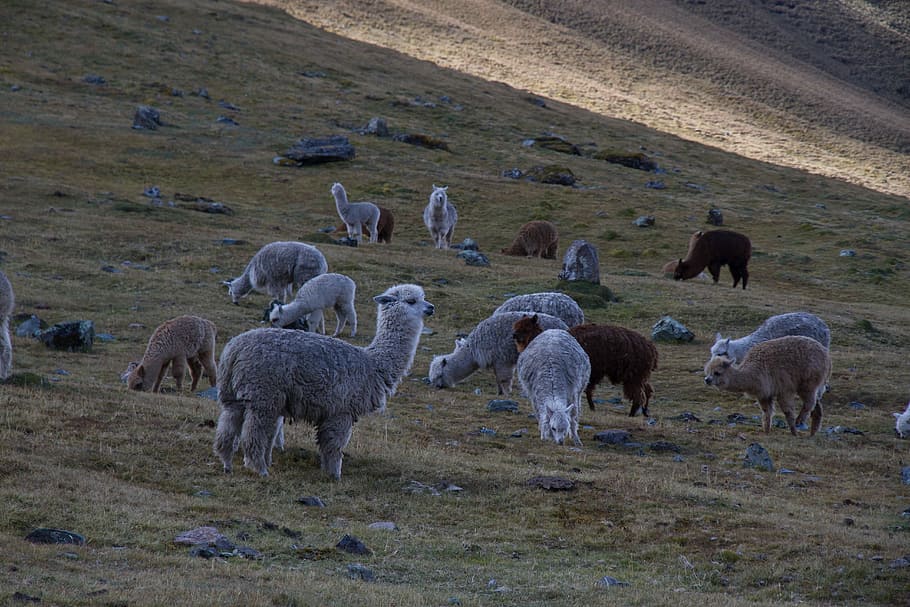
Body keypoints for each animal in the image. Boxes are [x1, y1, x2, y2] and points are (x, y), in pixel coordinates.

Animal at [213, 283, 435, 479]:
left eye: (423, 297)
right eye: (412, 300)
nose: (431, 307)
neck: (374, 364)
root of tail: (234, 350)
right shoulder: (341, 410)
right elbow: (334, 446)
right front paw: (334, 475)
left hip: (234, 394)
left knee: (226, 428)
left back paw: (227, 464)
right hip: (263, 394)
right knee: (253, 434)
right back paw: (259, 469)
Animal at [428, 311, 568, 395]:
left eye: (439, 375)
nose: (438, 387)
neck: (473, 350)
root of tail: (565, 326)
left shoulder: (502, 359)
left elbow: (504, 379)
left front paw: (506, 394)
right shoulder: (496, 361)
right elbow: (497, 378)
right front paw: (499, 393)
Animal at [512, 315, 658, 416]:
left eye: (526, 328)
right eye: (516, 326)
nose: (514, 335)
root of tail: (651, 348)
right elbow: (587, 390)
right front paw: (591, 408)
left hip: (633, 374)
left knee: (638, 395)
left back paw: (632, 414)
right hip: (640, 373)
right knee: (648, 390)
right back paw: (645, 412)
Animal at [703, 335, 831, 436]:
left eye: (717, 373)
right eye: (707, 372)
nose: (707, 380)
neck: (752, 372)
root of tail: (826, 354)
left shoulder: (784, 389)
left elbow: (788, 412)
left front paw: (794, 433)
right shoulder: (764, 394)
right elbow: (767, 412)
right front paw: (766, 431)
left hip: (808, 382)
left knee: (810, 403)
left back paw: (800, 421)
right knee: (817, 406)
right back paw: (813, 433)